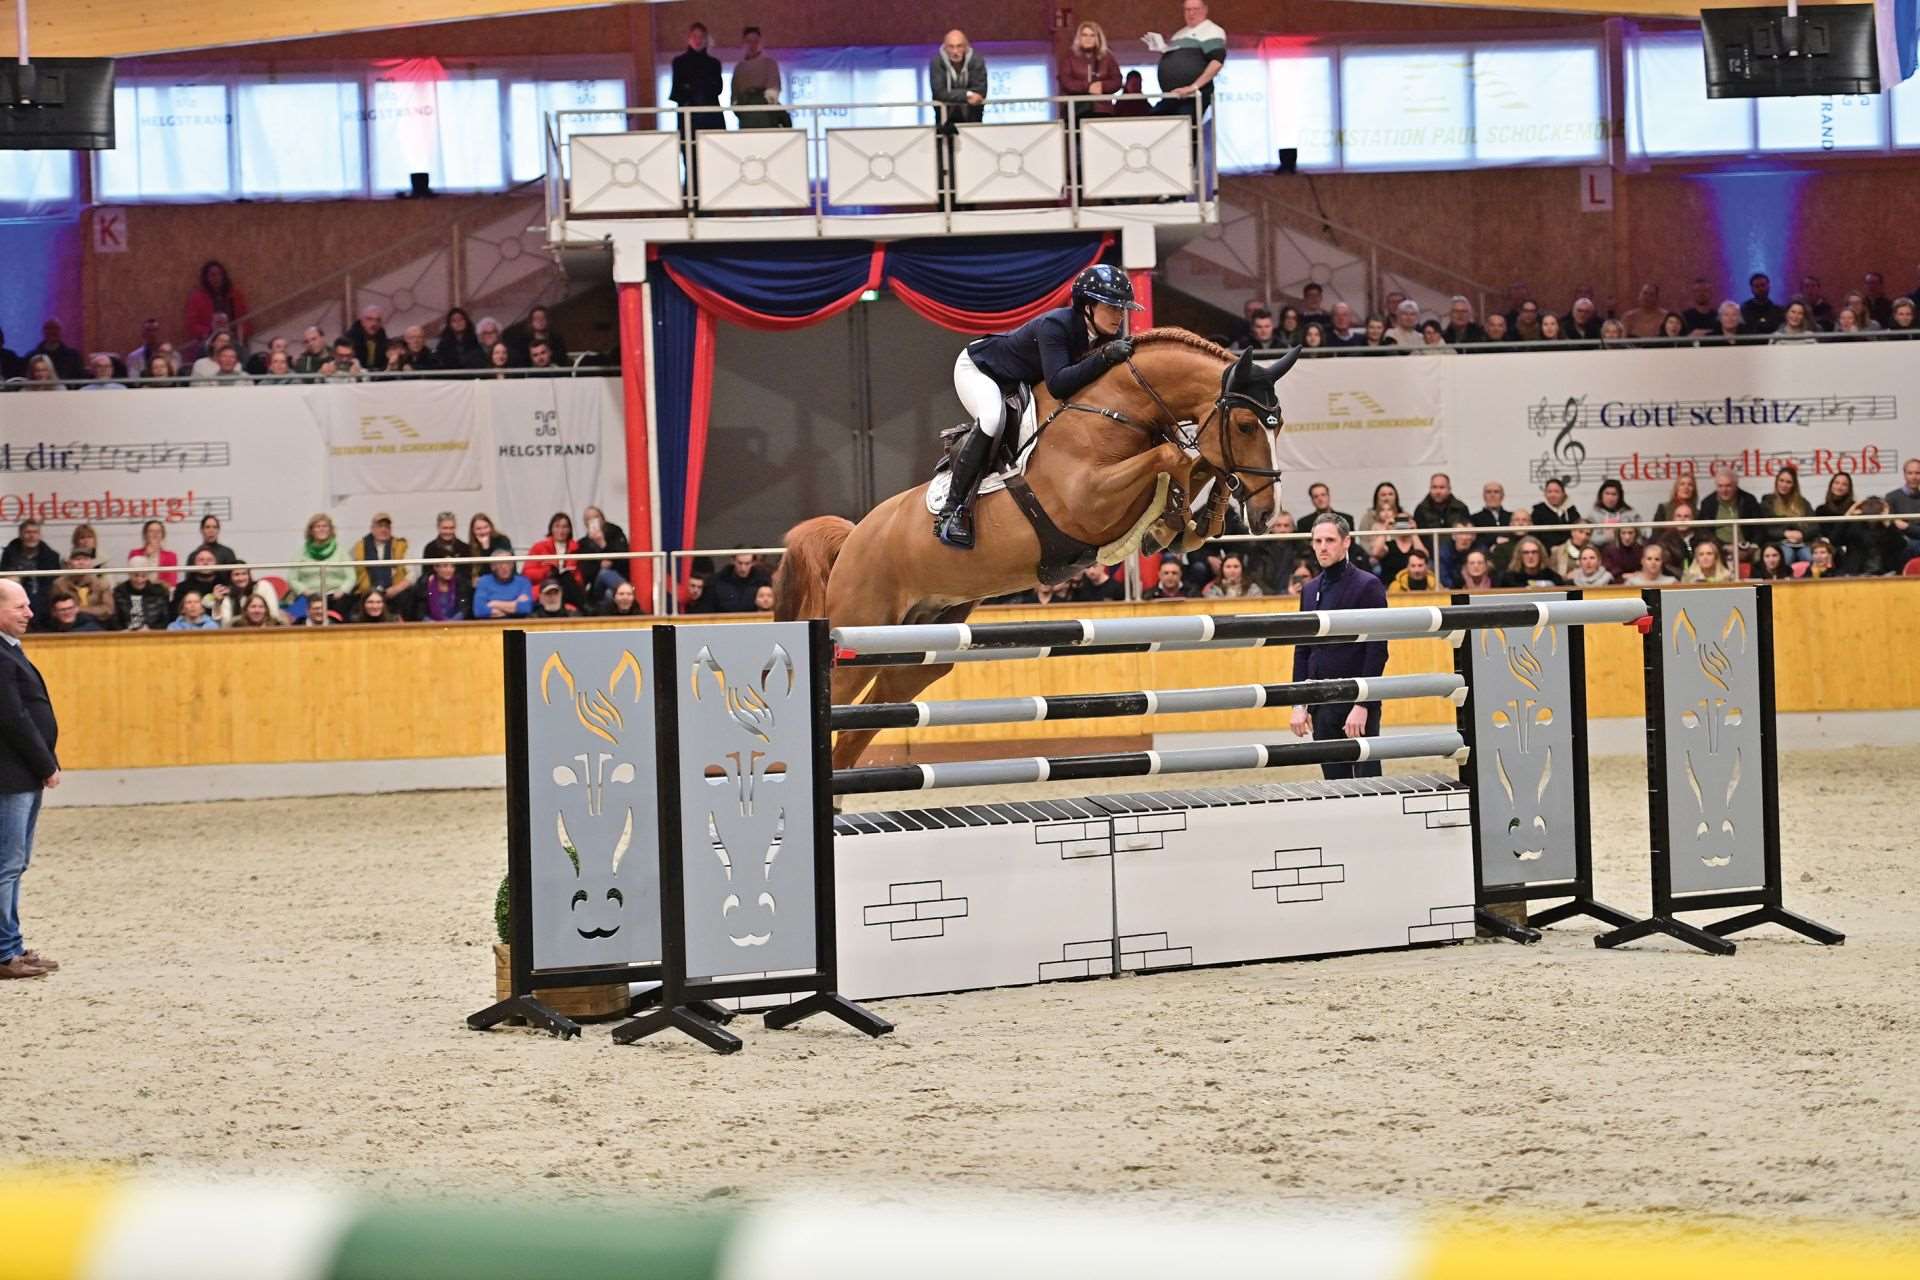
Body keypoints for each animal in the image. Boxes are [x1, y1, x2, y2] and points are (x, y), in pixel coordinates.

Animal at [774, 328, 1303, 771]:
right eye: (1247, 426)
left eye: (1278, 426)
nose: (1266, 513)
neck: (1116, 409)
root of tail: (853, 538)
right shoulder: (1087, 498)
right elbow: (1175, 456)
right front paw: (1171, 516)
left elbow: (1192, 464)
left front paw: (1193, 518)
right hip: (862, 626)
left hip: (919, 644)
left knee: (873, 711)